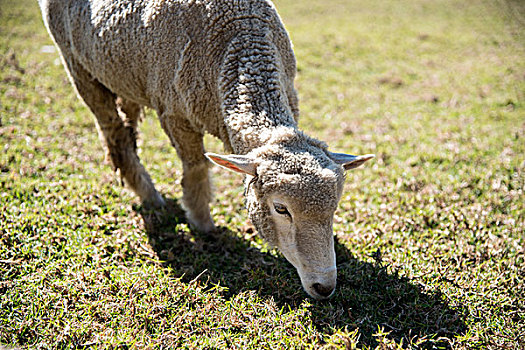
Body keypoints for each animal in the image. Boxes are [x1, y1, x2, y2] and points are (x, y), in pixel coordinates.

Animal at [39, 0, 372, 300]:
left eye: (334, 208)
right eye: (281, 208)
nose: (324, 287)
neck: (244, 41)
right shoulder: (174, 113)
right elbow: (196, 167)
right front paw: (202, 222)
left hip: (122, 70)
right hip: (77, 64)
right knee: (113, 131)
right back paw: (149, 194)